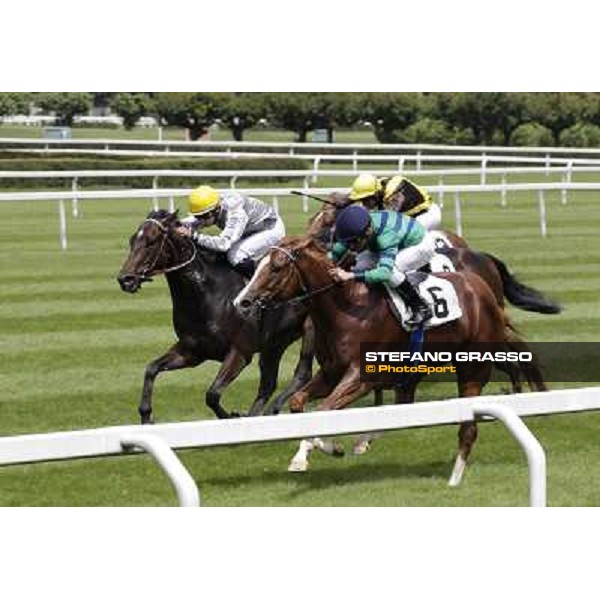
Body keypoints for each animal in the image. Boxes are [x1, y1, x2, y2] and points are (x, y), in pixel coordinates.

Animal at [118, 211, 314, 422]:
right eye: (132, 240)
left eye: (151, 241)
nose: (125, 279)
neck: (208, 294)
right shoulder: (192, 352)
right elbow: (151, 369)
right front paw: (146, 414)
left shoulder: (240, 352)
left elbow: (212, 395)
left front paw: (231, 416)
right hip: (275, 344)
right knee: (268, 383)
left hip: (310, 330)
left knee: (303, 374)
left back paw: (275, 408)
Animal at [234, 237, 536, 480]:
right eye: (258, 265)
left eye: (276, 267)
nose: (242, 302)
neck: (345, 308)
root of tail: (482, 288)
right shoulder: (331, 373)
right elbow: (299, 403)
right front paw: (319, 450)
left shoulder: (360, 378)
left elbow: (323, 410)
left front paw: (321, 448)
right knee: (405, 403)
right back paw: (364, 441)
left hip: (473, 366)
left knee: (469, 426)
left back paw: (456, 476)